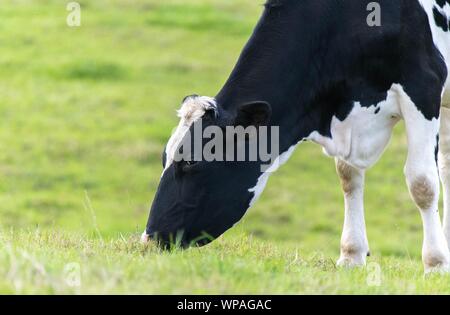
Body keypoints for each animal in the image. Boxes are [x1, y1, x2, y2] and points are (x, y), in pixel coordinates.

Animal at [142, 0, 450, 274]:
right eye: (164, 157)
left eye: (191, 161)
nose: (149, 239)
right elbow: (348, 178)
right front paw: (351, 255)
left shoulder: (424, 84)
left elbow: (422, 183)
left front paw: (435, 264)